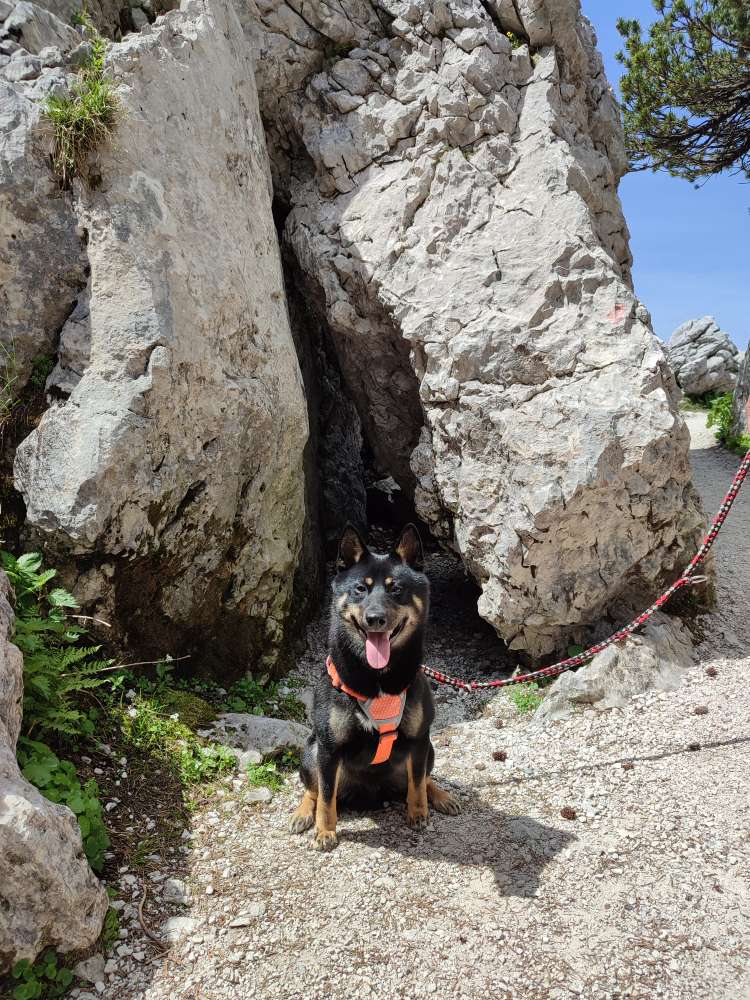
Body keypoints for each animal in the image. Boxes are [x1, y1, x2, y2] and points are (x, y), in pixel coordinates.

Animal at [290, 524, 462, 852]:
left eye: (396, 589)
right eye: (360, 588)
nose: (375, 619)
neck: (378, 679)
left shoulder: (419, 738)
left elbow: (417, 782)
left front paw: (418, 812)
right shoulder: (328, 749)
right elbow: (326, 797)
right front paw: (325, 831)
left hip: (429, 749)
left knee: (421, 778)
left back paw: (441, 796)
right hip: (311, 751)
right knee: (315, 790)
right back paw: (303, 813)